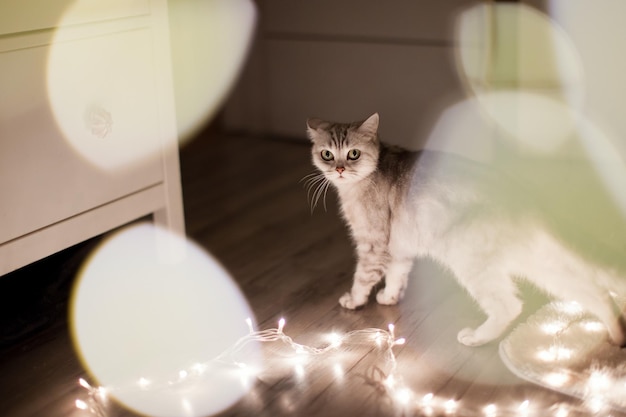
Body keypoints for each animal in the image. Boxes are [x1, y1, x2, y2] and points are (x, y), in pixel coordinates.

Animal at [304, 112, 624, 346]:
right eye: (327, 155)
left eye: (353, 154)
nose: (339, 169)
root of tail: (529, 199)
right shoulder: (399, 248)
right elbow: (396, 276)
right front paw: (389, 297)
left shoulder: (373, 244)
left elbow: (362, 278)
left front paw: (354, 300)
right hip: (544, 269)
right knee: (597, 294)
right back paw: (616, 335)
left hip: (471, 263)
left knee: (509, 306)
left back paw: (477, 338)